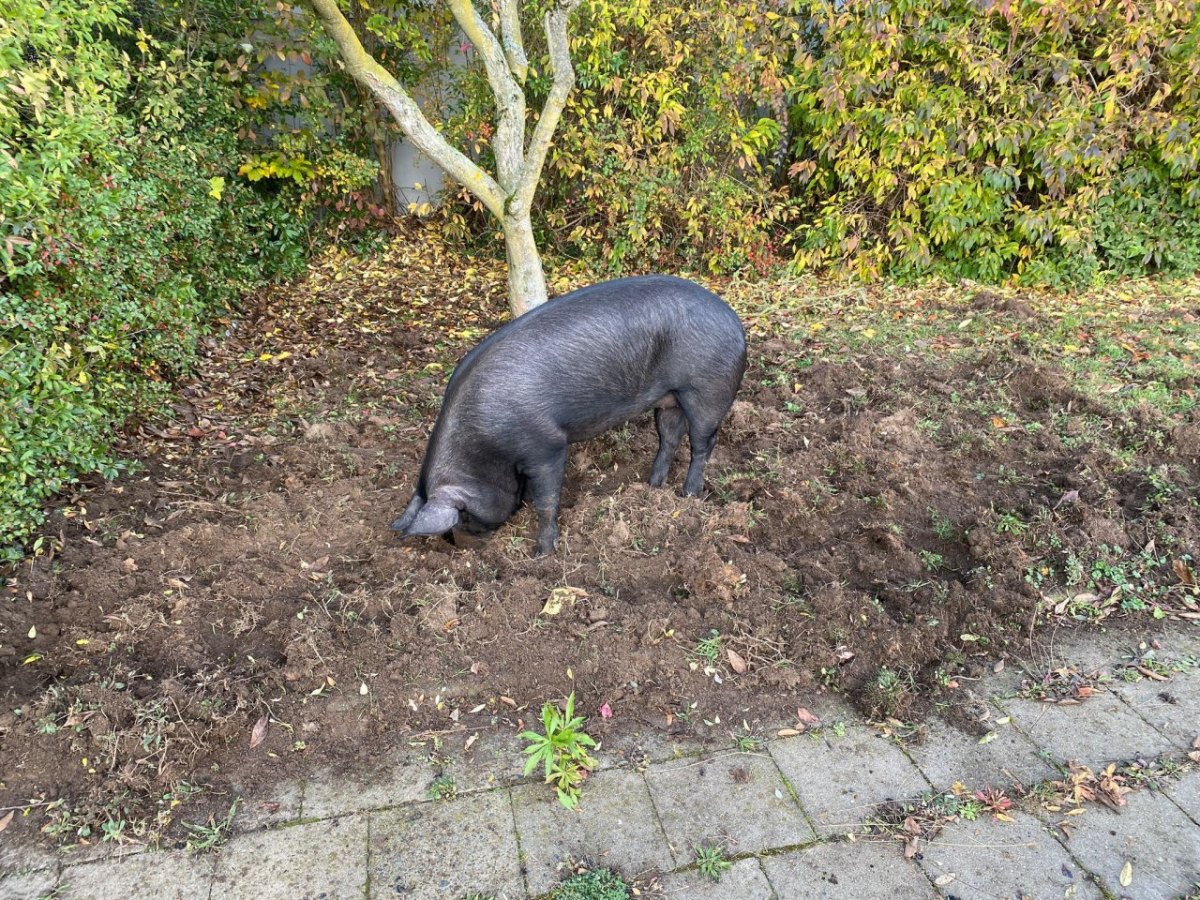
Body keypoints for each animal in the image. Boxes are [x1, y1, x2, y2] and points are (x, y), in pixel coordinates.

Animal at [393, 277, 744, 556]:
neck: (485, 446)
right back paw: (653, 486)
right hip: (669, 399)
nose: (467, 549)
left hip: (708, 391)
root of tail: (735, 321)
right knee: (669, 438)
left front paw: (542, 554)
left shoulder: (547, 447)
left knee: (703, 443)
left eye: (464, 515)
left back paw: (688, 494)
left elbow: (547, 500)